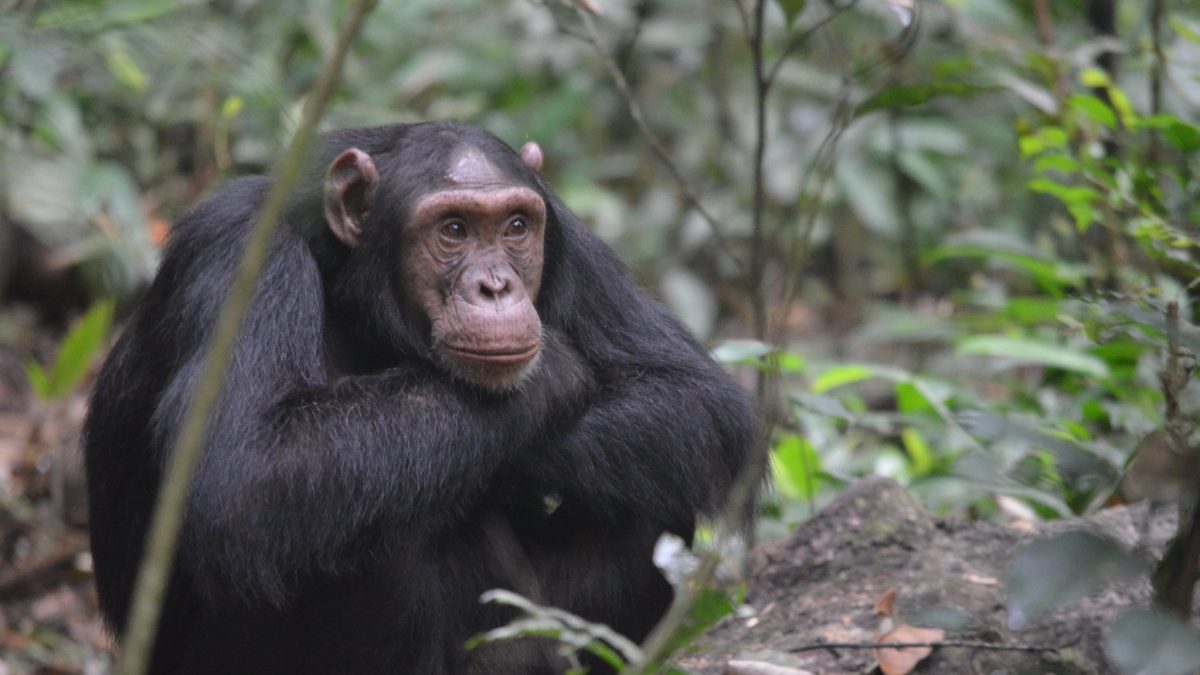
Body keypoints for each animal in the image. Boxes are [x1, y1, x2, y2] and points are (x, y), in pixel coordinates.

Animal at [84, 121, 753, 672]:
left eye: (516, 227)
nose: (496, 286)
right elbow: (243, 472)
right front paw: (554, 378)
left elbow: (693, 399)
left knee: (650, 500)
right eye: (453, 230)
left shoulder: (573, 241)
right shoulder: (239, 251)